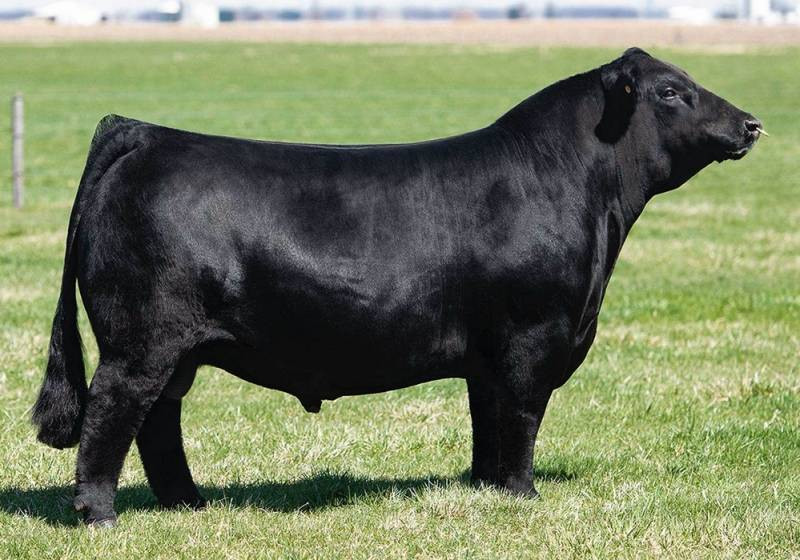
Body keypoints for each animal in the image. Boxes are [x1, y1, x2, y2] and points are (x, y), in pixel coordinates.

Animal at [32, 48, 762, 527]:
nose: (751, 123)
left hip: (175, 347)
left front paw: (485, 489)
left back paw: (191, 503)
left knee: (158, 421)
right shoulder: (533, 338)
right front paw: (524, 497)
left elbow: (488, 422)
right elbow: (522, 418)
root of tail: (145, 133)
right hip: (143, 339)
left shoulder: (488, 355)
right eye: (669, 92)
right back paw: (100, 514)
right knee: (113, 410)